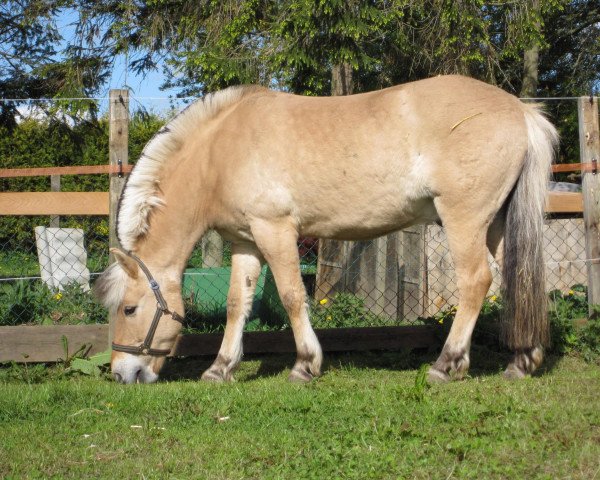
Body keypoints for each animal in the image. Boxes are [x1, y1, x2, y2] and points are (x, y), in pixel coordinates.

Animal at [94, 75, 556, 384]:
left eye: (129, 309)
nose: (121, 373)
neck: (220, 152)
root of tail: (520, 110)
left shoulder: (275, 230)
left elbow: (292, 296)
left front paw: (305, 364)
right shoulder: (246, 242)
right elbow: (236, 305)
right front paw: (220, 368)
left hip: (464, 219)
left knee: (476, 281)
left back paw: (447, 364)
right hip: (496, 223)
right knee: (519, 278)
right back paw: (522, 361)